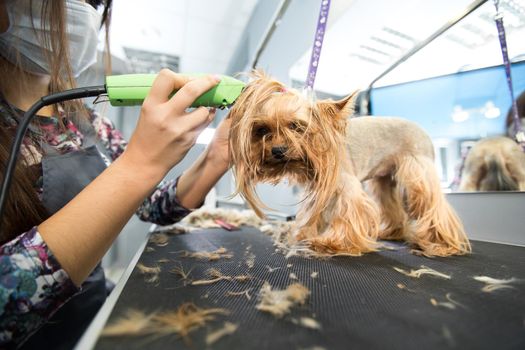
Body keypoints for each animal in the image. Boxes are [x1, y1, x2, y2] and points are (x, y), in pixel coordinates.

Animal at [227, 72, 468, 258]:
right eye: (262, 130)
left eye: (296, 126)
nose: (277, 151)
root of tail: (422, 130)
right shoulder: (319, 188)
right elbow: (313, 213)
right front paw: (304, 235)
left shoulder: (344, 185)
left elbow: (347, 211)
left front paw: (332, 243)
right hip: (383, 179)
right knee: (389, 203)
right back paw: (391, 232)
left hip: (417, 169)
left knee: (431, 204)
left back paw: (441, 244)